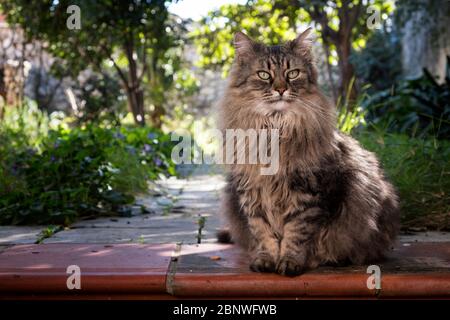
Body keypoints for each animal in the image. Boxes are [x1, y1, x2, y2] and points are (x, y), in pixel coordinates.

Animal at [216, 28, 400, 276]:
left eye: (292, 73)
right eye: (264, 75)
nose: (281, 89)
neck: (275, 130)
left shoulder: (308, 194)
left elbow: (297, 233)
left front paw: (290, 262)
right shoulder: (252, 195)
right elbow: (263, 232)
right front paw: (266, 260)